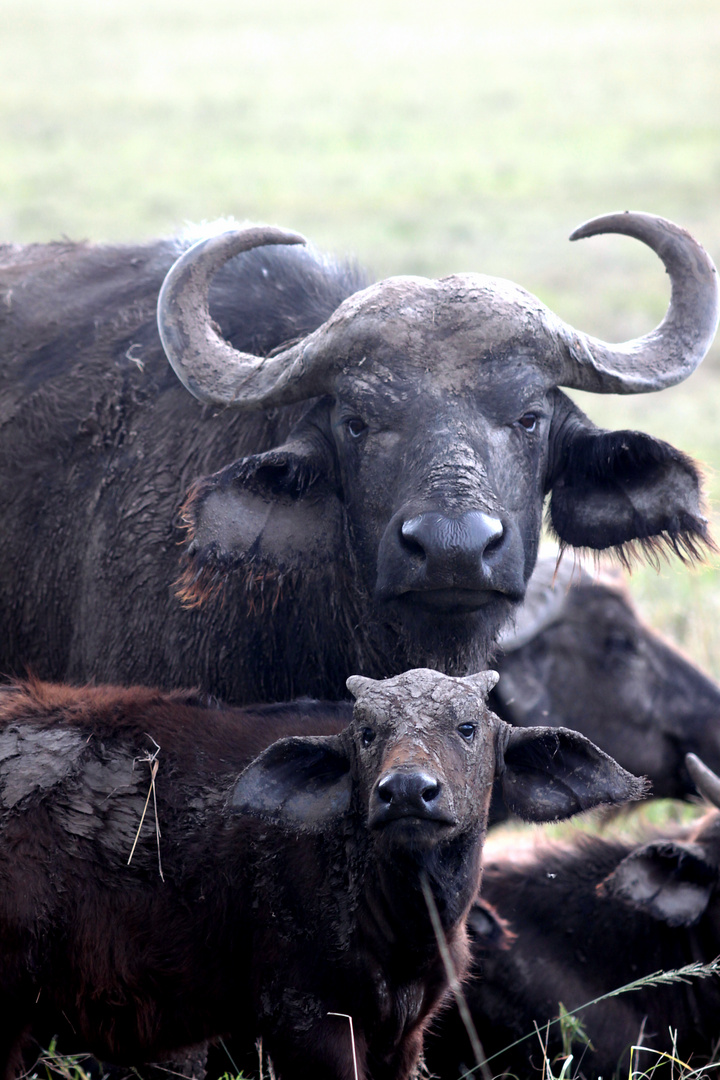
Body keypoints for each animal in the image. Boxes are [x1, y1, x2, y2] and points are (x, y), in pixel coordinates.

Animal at [0, 669, 643, 1080]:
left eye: (467, 728)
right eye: (368, 733)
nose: (407, 791)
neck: (400, 923)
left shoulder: (404, 1035)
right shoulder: (310, 1022)